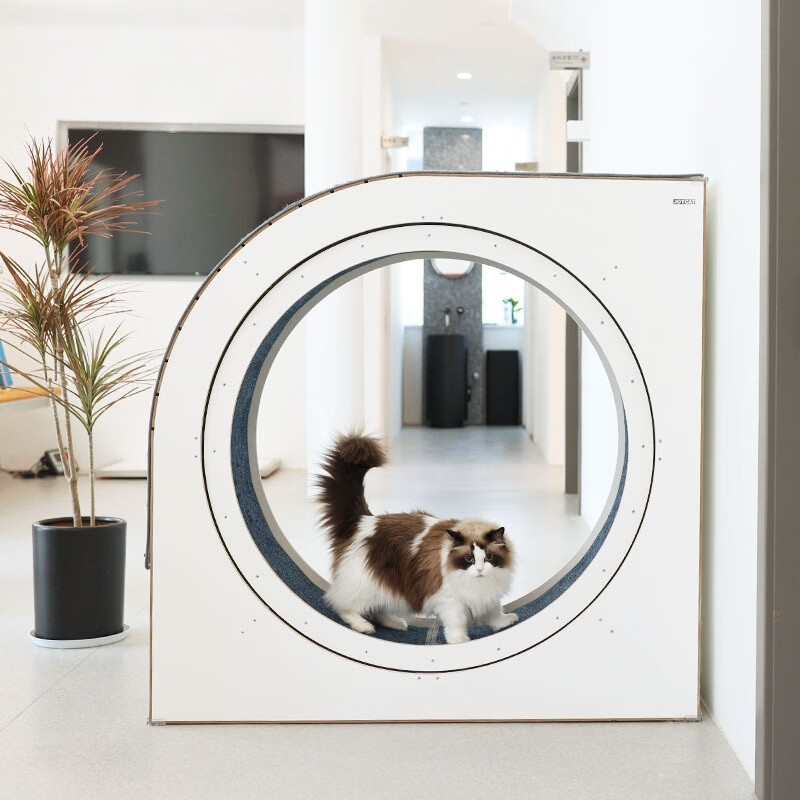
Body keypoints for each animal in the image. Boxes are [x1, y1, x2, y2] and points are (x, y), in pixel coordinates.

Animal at [316, 432, 518, 644]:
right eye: (468, 559)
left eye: (489, 558)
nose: (479, 570)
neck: (477, 582)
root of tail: (363, 520)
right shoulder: (450, 601)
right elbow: (456, 624)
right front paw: (461, 641)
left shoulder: (487, 596)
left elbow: (496, 612)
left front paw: (505, 622)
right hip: (367, 584)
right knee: (341, 605)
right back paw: (363, 626)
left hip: (388, 587)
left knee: (378, 610)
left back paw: (396, 623)